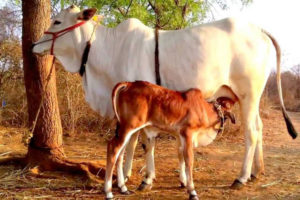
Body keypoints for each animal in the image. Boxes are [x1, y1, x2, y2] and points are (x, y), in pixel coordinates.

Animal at [104, 80, 236, 199]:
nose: (234, 118)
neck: (203, 109)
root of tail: (129, 84)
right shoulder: (188, 134)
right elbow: (189, 161)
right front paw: (192, 192)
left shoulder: (180, 137)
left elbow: (181, 157)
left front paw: (183, 183)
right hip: (129, 126)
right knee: (113, 148)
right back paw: (109, 193)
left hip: (125, 129)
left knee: (120, 154)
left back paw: (123, 188)